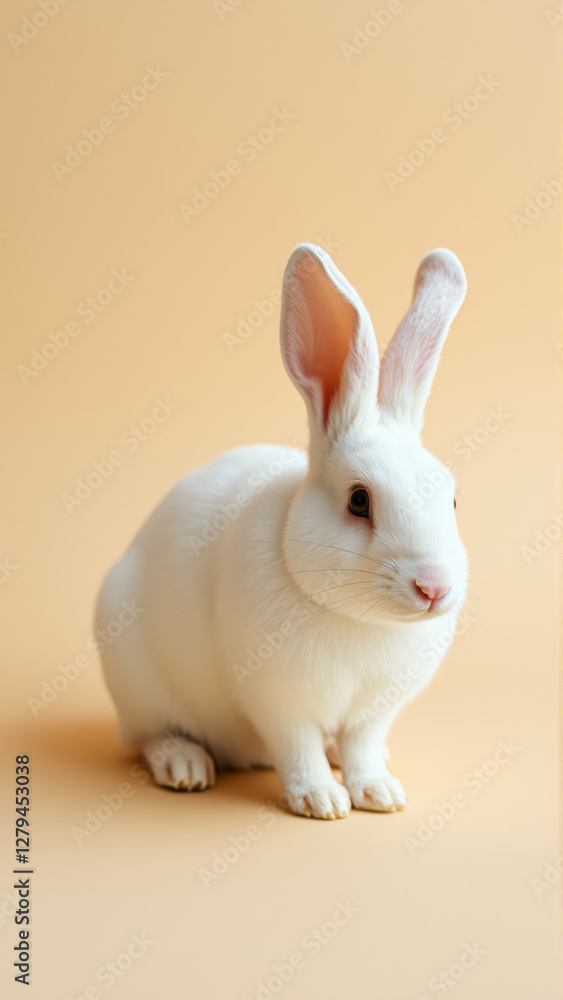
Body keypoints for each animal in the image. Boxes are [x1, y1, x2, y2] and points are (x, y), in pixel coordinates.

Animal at [96, 243, 468, 819]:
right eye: (358, 501)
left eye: (451, 498)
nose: (434, 587)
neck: (359, 620)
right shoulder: (279, 700)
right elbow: (299, 748)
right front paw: (321, 800)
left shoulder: (375, 708)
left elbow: (363, 745)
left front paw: (379, 792)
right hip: (137, 682)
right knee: (149, 736)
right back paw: (185, 767)